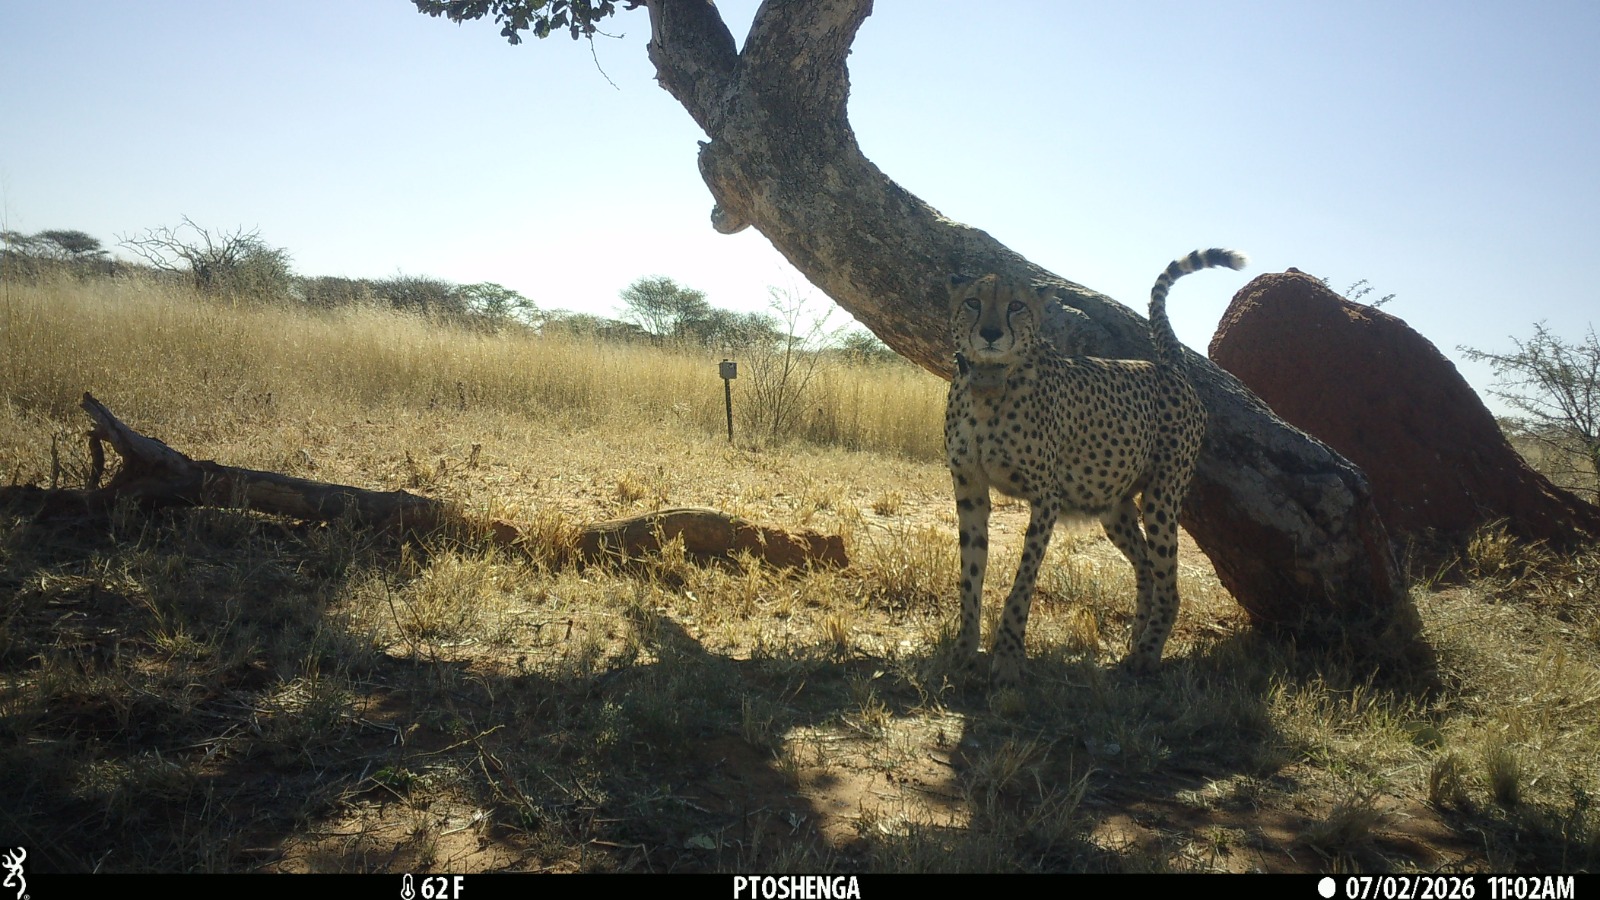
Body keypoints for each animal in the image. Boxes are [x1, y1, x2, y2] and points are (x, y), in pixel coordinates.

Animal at [944, 248, 1246, 688]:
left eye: (1016, 306)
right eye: (972, 302)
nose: (990, 334)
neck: (990, 383)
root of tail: (1168, 367)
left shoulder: (1046, 498)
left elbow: (1023, 582)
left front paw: (1009, 657)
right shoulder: (970, 489)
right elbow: (970, 574)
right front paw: (965, 650)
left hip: (1161, 497)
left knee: (1169, 586)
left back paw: (1146, 656)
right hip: (1112, 506)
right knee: (1146, 569)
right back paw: (1135, 639)